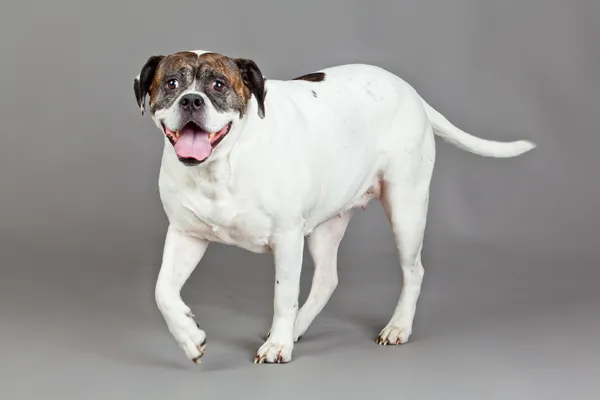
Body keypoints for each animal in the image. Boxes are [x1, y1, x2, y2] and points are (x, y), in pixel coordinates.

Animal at [132, 50, 536, 366]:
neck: (219, 167)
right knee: (327, 278)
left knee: (413, 271)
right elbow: (162, 292)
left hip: (406, 208)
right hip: (328, 223)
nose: (191, 101)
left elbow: (283, 296)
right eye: (171, 83)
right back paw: (297, 328)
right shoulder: (185, 235)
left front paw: (277, 345)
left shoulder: (287, 239)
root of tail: (411, 92)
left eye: (218, 85)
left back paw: (396, 327)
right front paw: (189, 335)